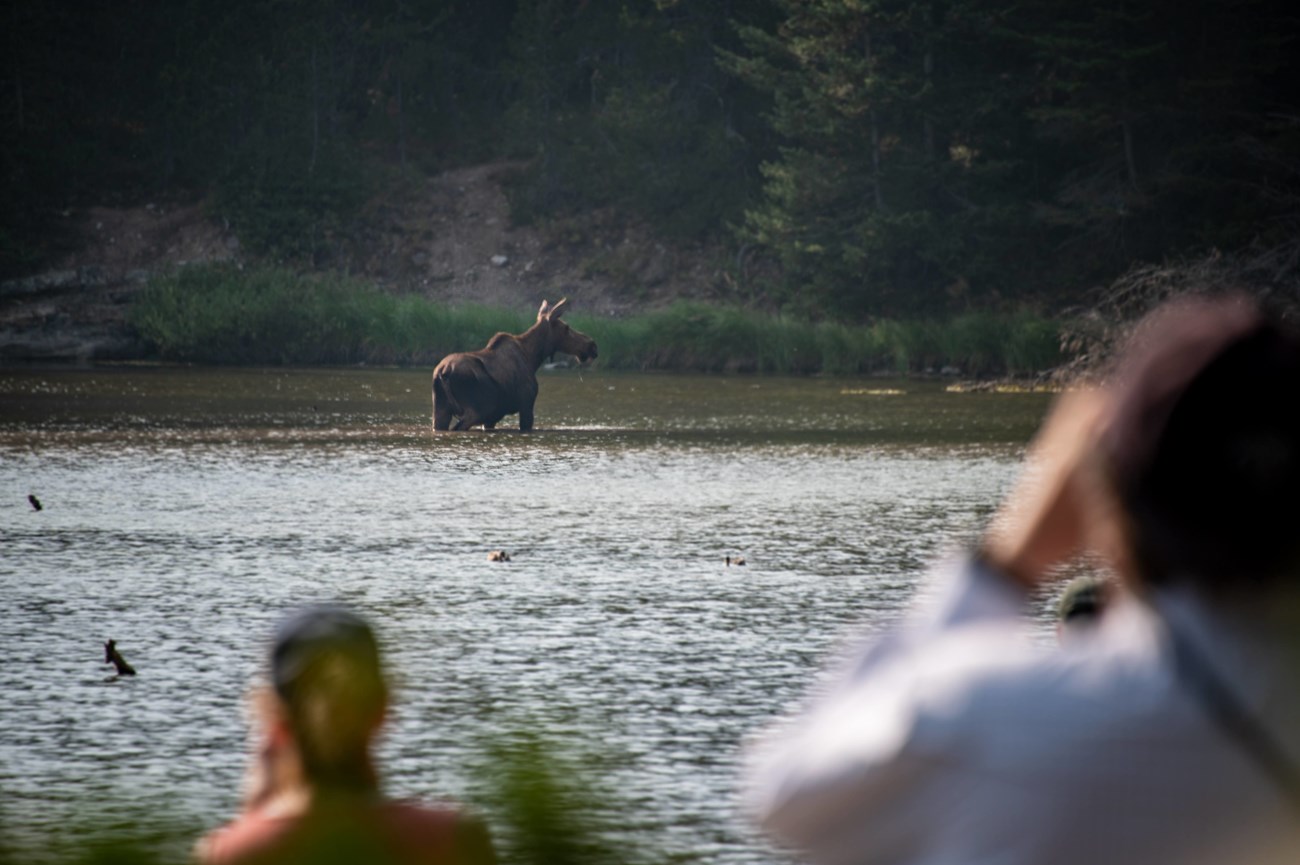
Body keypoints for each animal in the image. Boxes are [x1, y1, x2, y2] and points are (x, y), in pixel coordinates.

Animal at [436, 296, 598, 431]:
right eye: (567, 327)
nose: (592, 345)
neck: (533, 358)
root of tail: (445, 371)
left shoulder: (492, 418)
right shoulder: (526, 404)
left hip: (441, 410)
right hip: (477, 410)